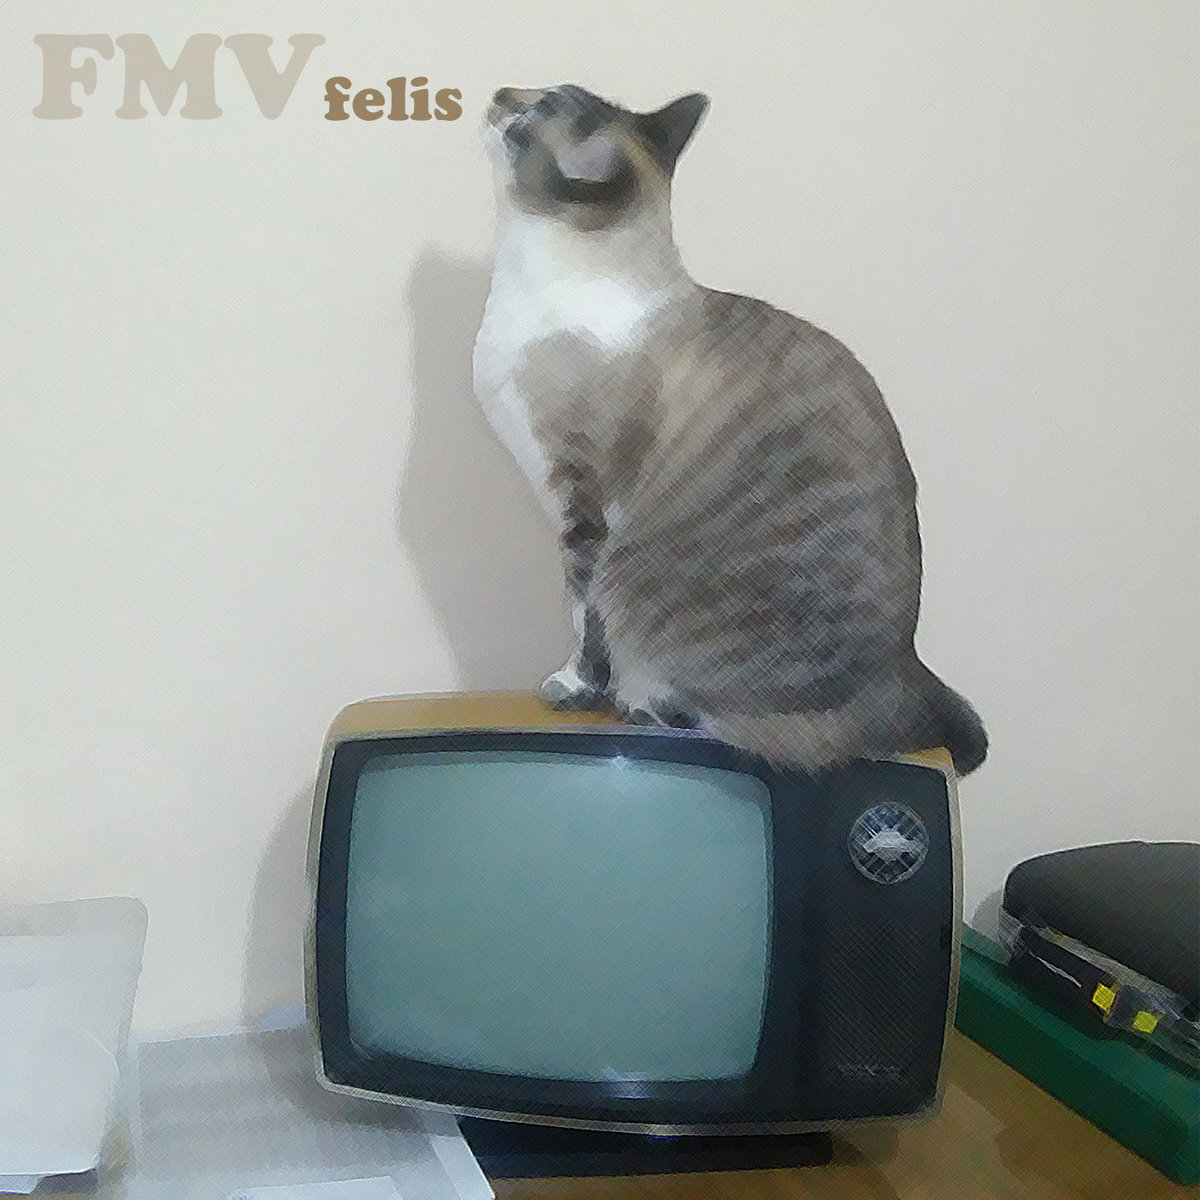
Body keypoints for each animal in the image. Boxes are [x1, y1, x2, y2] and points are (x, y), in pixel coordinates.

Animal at [472, 83, 988, 774]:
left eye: (535, 110)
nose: (501, 93)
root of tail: (908, 670)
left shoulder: (580, 501)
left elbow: (584, 616)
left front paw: (572, 689)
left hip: (650, 590)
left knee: (761, 732)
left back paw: (644, 702)